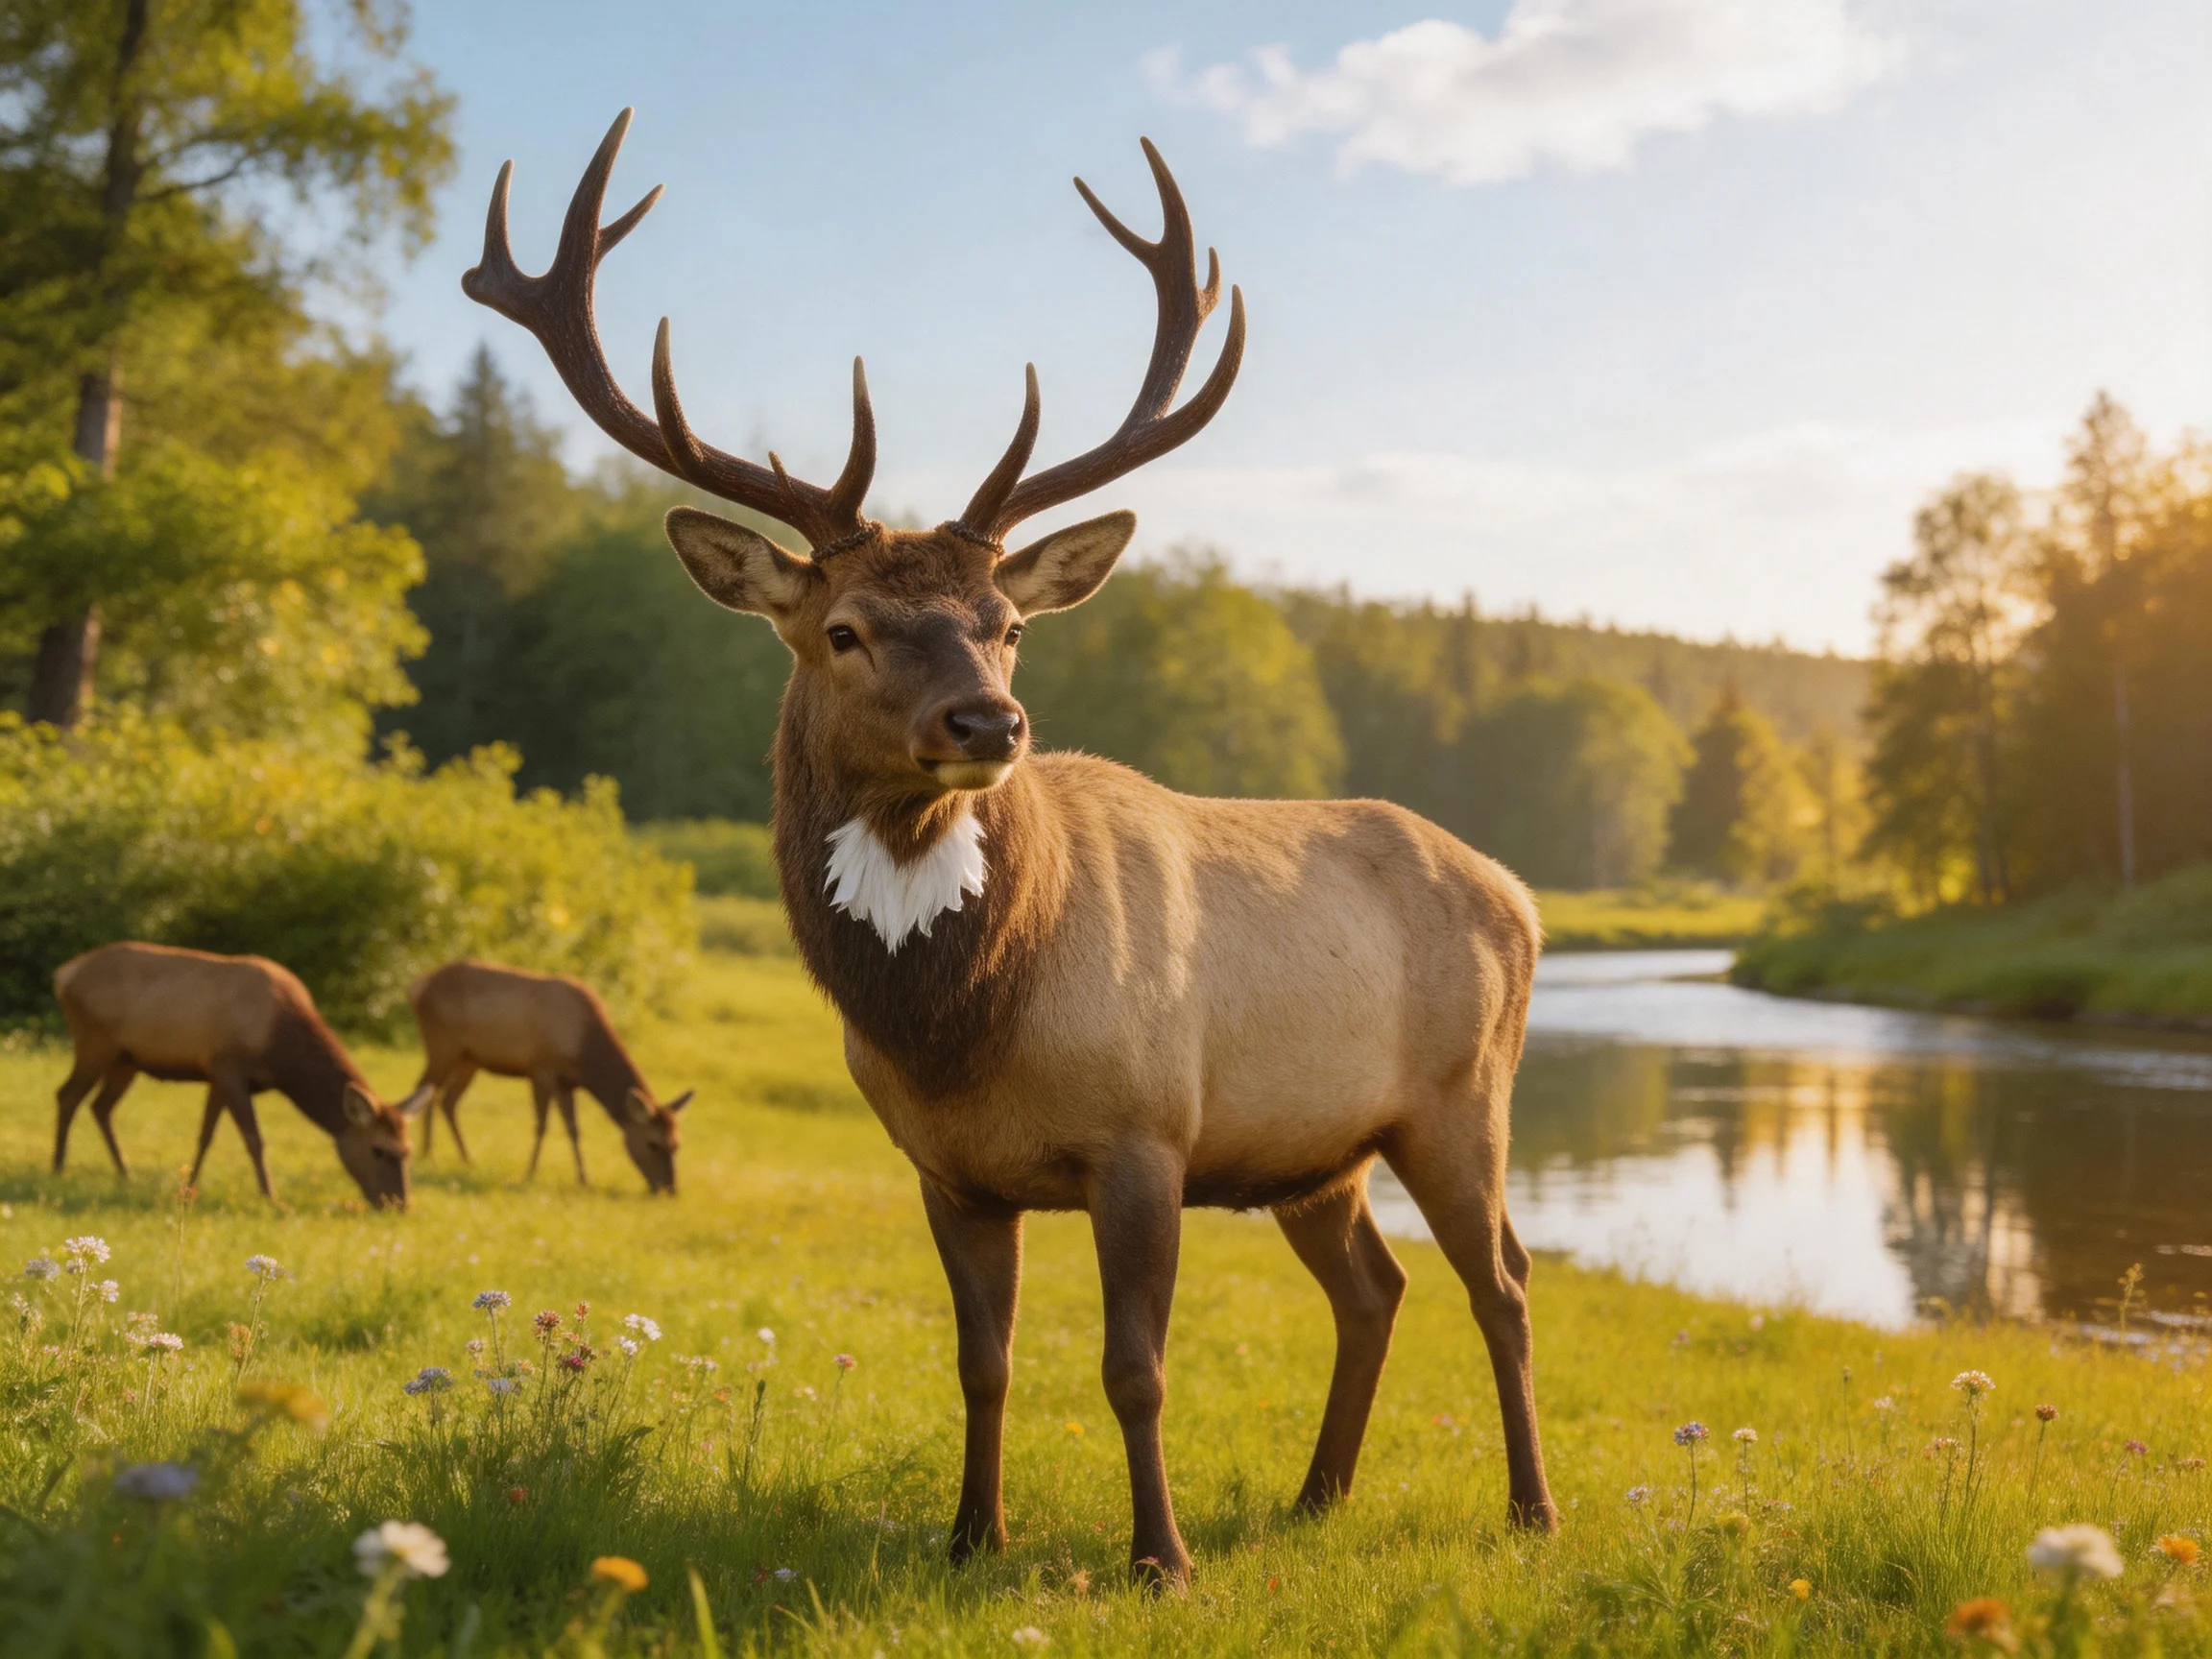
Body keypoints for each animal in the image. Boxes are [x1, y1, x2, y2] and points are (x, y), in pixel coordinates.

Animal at [52, 942, 431, 1209]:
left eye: (408, 1150)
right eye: (379, 1150)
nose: (399, 1205)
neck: (279, 1050)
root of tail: (63, 975)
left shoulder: (216, 1073)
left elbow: (205, 1135)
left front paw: (189, 1188)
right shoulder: (229, 1067)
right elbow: (253, 1138)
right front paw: (270, 1196)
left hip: (125, 1060)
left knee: (100, 1106)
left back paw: (124, 1172)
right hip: (93, 1043)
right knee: (67, 1095)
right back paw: (57, 1168)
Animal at [404, 960, 693, 1193]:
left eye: (677, 1143)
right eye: (653, 1143)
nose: (670, 1189)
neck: (584, 1052)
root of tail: (417, 986)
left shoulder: (568, 1083)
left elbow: (574, 1128)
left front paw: (584, 1178)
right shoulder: (541, 1069)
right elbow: (542, 1125)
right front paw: (530, 1173)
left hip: (468, 1060)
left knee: (447, 1100)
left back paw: (466, 1157)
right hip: (441, 1044)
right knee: (426, 1086)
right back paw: (428, 1152)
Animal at [464, 109, 1556, 1587]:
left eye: (1009, 623)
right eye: (846, 627)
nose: (992, 720)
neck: (963, 1028)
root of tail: (1522, 895)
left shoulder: (1147, 1131)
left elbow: (1134, 1368)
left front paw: (1160, 1560)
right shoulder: (948, 1171)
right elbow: (981, 1364)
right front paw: (969, 1536)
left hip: (1462, 1096)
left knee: (1502, 1282)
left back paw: (1531, 1510)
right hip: (1316, 1148)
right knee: (1374, 1287)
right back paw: (1315, 1497)